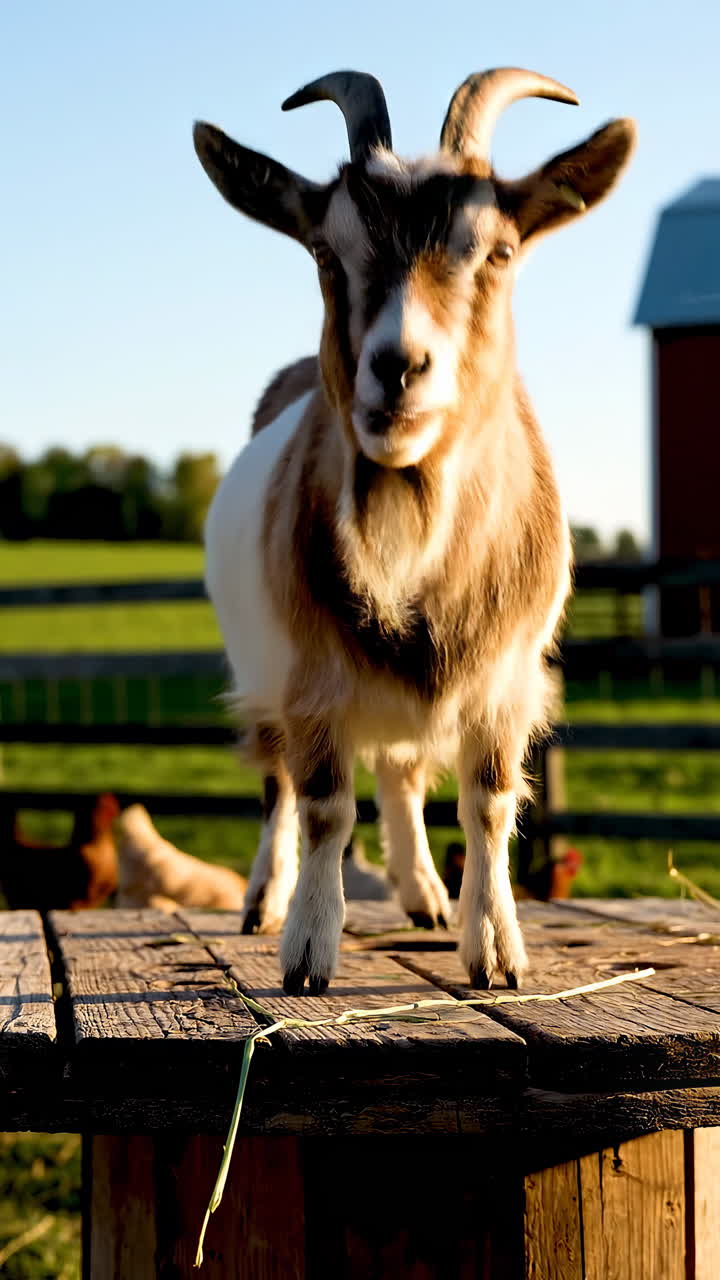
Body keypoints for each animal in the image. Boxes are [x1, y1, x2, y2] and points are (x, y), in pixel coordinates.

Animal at [194, 68, 635, 994]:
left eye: (498, 252)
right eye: (326, 253)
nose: (397, 368)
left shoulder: (505, 677)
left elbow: (490, 800)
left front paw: (493, 946)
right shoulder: (312, 673)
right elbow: (324, 801)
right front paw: (308, 948)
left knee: (399, 769)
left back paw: (424, 893)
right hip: (259, 668)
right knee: (278, 782)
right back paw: (264, 899)